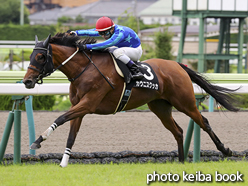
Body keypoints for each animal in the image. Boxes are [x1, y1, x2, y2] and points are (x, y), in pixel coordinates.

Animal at [22, 33, 238, 167]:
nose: (27, 81)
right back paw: (181, 161)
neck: (83, 69)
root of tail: (178, 65)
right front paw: (63, 162)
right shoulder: (79, 107)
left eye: (40, 57)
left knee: (204, 122)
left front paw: (37, 141)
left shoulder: (88, 104)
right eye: (31, 55)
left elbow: (59, 118)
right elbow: (71, 135)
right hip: (160, 107)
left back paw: (226, 150)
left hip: (185, 102)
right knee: (177, 131)